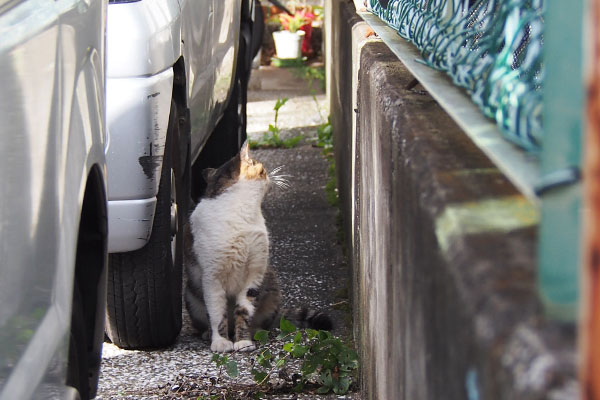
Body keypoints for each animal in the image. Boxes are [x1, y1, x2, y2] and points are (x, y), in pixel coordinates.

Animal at [186, 141, 332, 354]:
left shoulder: (255, 271)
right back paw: (207, 333)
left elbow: (243, 310)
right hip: (191, 295)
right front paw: (221, 341)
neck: (240, 211)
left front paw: (243, 341)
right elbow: (217, 313)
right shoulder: (212, 277)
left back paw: (255, 331)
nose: (271, 175)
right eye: (262, 167)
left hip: (272, 284)